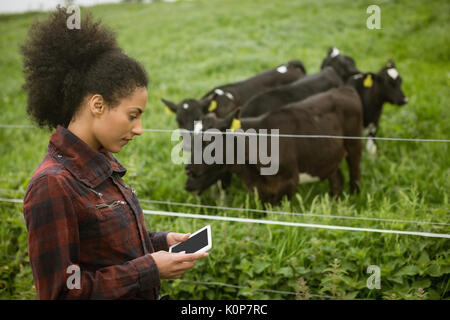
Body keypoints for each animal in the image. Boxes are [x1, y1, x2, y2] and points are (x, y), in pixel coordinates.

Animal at [185, 85, 364, 205]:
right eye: (192, 141)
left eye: (209, 141)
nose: (188, 170)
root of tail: (344, 89)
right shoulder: (260, 189)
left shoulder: (288, 183)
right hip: (328, 155)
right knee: (336, 178)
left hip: (354, 145)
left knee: (355, 173)